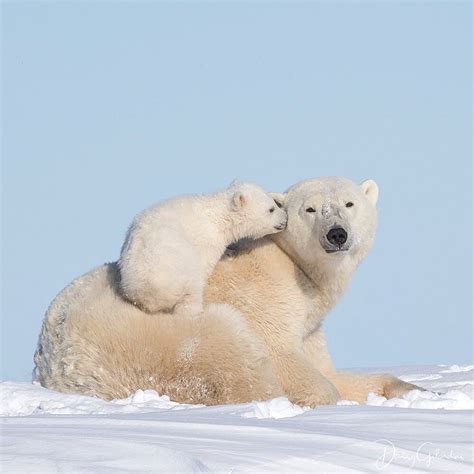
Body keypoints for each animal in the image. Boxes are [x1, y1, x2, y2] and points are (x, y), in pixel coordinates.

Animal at [118, 183, 288, 316]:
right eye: (271, 209)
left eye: (274, 203)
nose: (285, 218)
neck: (217, 217)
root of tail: (146, 289)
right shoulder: (207, 240)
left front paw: (229, 251)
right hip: (181, 271)